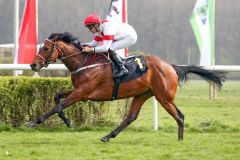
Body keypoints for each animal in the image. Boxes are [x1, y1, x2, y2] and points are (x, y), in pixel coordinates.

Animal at [29, 31, 225, 142]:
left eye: (45, 48)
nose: (33, 65)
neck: (84, 62)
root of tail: (171, 66)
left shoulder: (82, 92)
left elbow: (57, 106)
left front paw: (34, 121)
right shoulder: (80, 92)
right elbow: (57, 97)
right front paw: (68, 121)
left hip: (164, 97)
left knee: (180, 115)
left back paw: (180, 141)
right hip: (143, 94)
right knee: (131, 117)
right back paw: (107, 136)